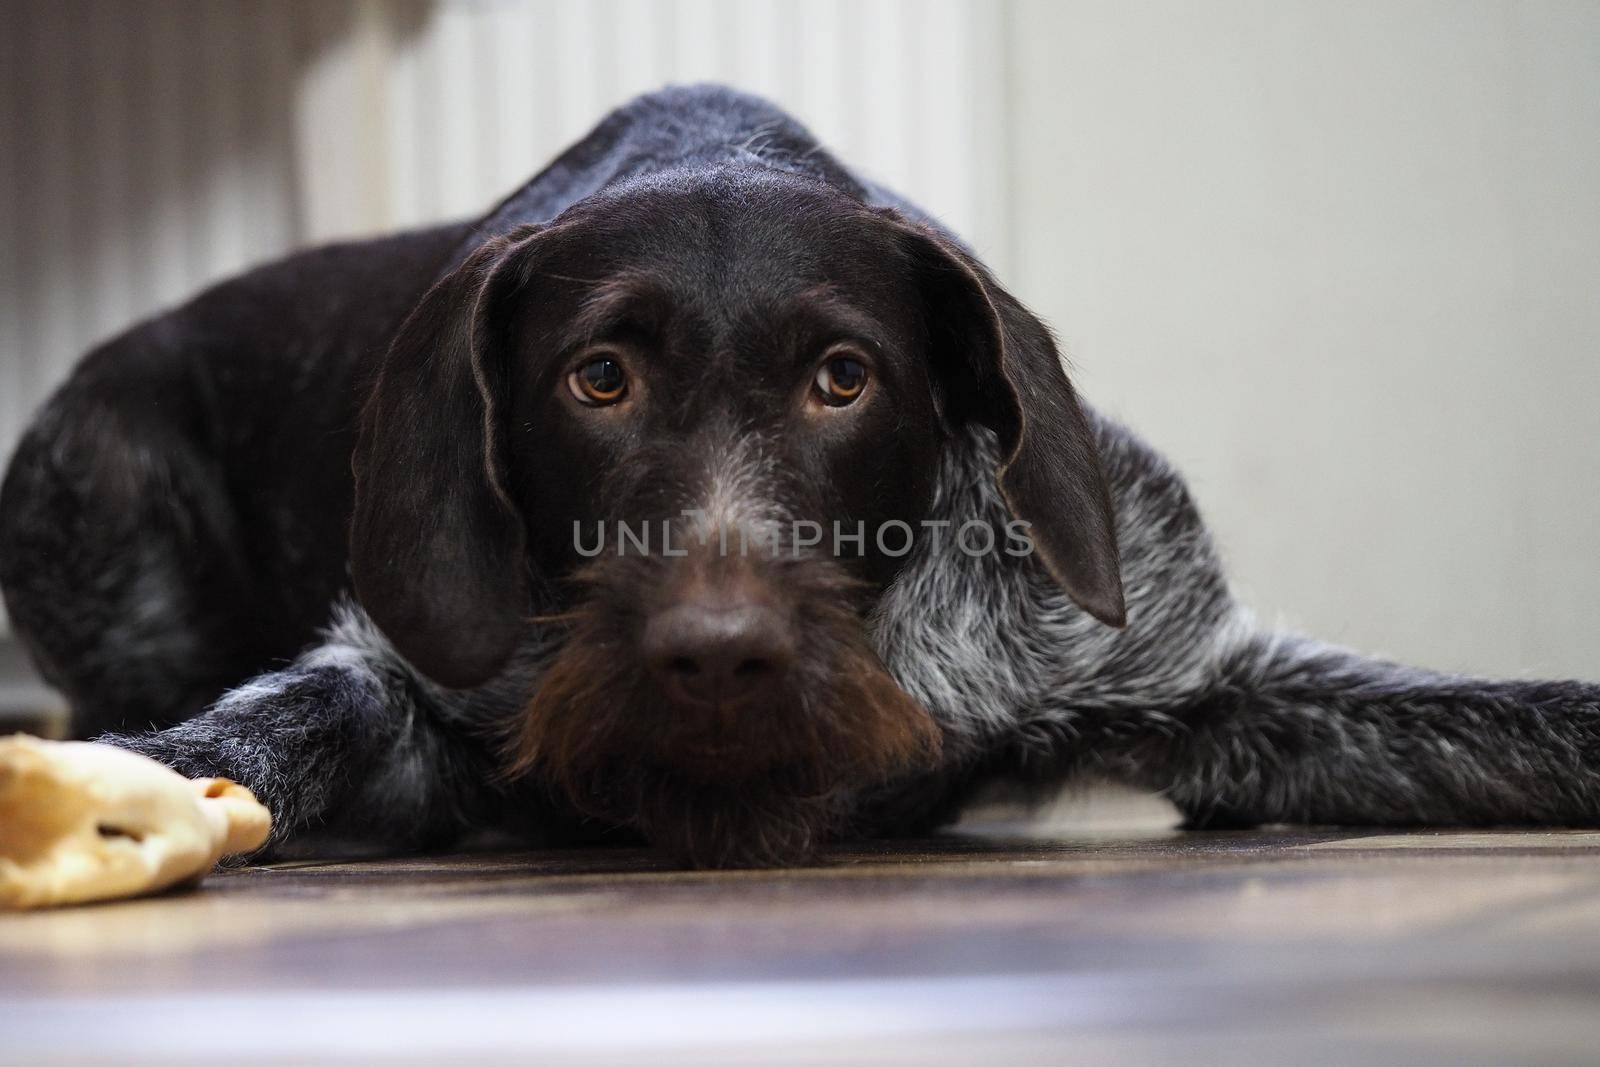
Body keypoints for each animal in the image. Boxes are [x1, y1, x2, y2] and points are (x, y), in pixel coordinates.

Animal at [3, 85, 1600, 870]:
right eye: (597, 377)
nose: (717, 653)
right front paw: (124, 786)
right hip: (86, 486)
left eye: (847, 376)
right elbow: (289, 719)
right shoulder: (416, 696)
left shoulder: (1207, 680)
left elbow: (1531, 720)